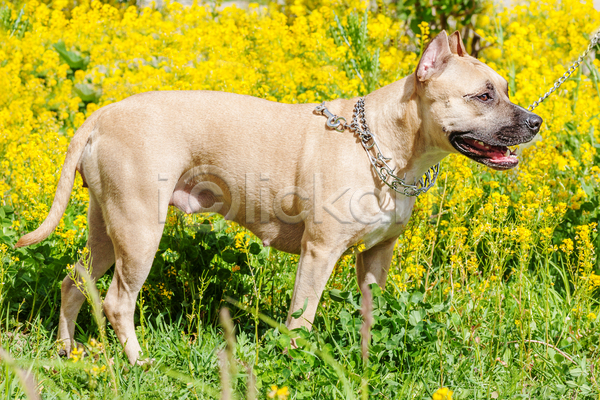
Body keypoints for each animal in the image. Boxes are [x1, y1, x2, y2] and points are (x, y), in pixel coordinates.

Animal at [15, 29, 540, 364]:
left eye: (506, 89)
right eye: (483, 96)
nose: (535, 121)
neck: (383, 145)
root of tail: (101, 116)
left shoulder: (376, 257)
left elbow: (369, 314)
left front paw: (365, 359)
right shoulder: (319, 252)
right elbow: (301, 319)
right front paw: (296, 361)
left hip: (108, 231)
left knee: (74, 281)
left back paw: (66, 349)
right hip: (140, 231)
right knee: (118, 302)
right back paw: (137, 361)